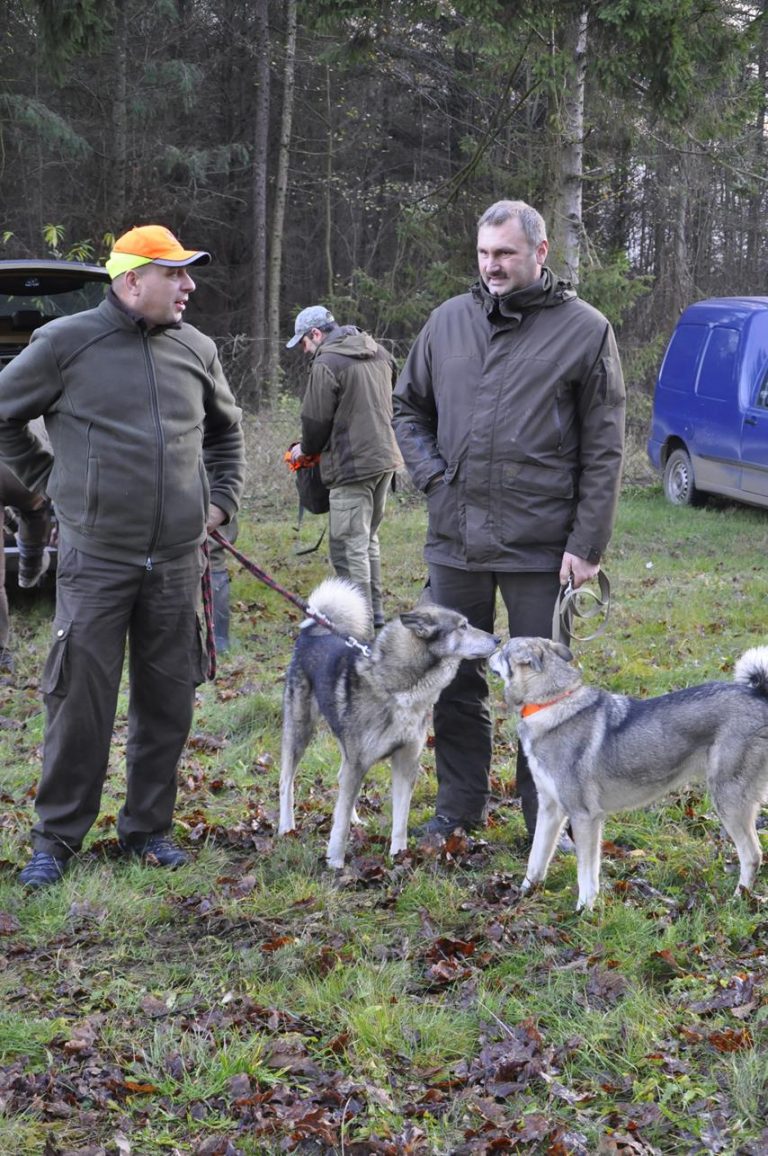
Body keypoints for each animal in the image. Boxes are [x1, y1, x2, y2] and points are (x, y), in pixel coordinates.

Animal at [278, 578, 501, 869]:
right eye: (463, 626)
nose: (498, 639)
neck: (400, 689)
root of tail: (310, 635)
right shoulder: (359, 762)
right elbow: (339, 825)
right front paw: (335, 861)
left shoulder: (405, 762)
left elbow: (400, 818)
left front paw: (399, 854)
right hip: (300, 731)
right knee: (286, 781)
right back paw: (286, 827)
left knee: (341, 783)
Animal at [488, 638, 768, 906]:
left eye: (504, 650)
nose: (492, 646)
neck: (551, 702)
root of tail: (759, 694)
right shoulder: (550, 809)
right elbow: (536, 859)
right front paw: (523, 894)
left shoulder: (584, 816)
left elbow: (586, 874)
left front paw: (584, 910)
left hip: (729, 801)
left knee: (753, 855)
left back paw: (738, 899)